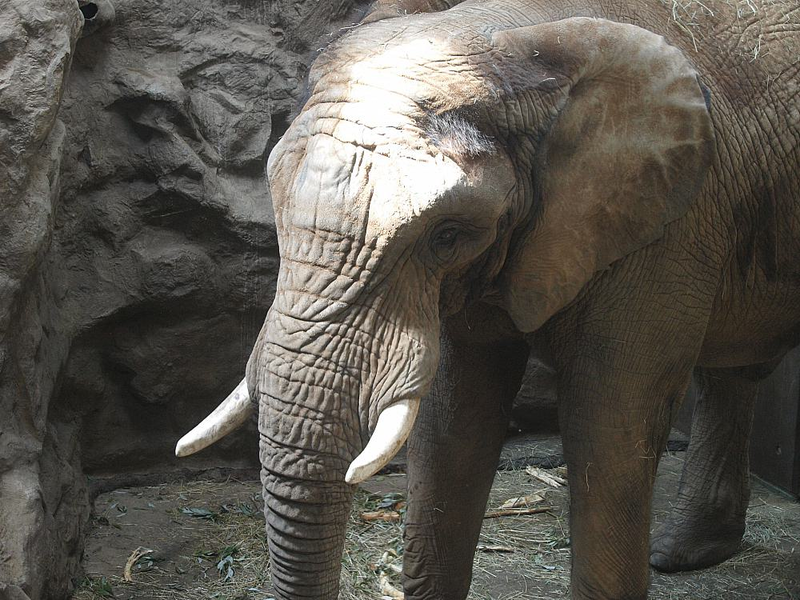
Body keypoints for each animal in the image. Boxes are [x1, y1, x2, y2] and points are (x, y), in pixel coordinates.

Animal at [176, 0, 800, 598]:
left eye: (447, 234)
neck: (516, 38)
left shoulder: (668, 224)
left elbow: (611, 418)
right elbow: (453, 414)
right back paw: (681, 555)